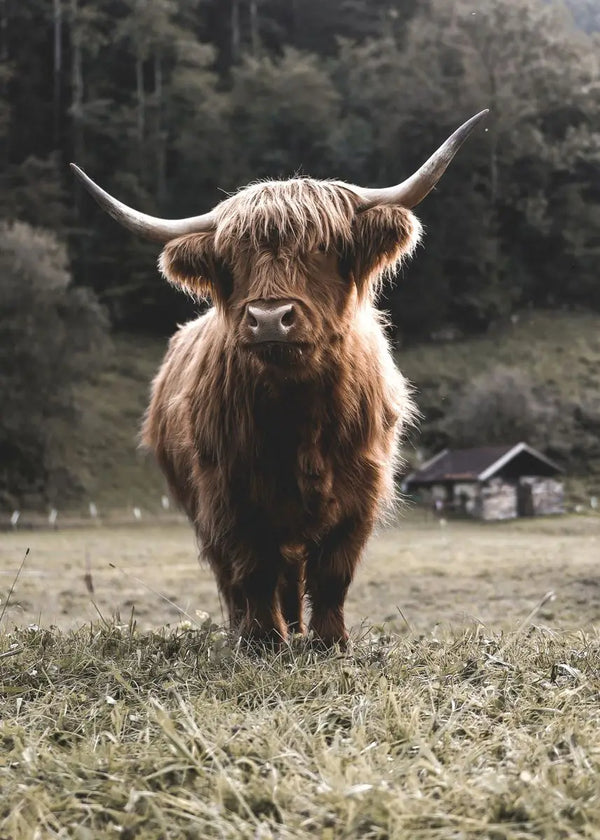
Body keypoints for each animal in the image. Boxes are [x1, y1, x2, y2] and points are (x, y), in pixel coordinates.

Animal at [72, 110, 487, 647]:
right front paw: (264, 640)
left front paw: (329, 640)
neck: (298, 411)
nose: (269, 318)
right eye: (232, 260)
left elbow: (333, 573)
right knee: (237, 577)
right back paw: (251, 630)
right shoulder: (229, 496)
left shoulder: (360, 495)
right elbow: (253, 571)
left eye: (323, 248)